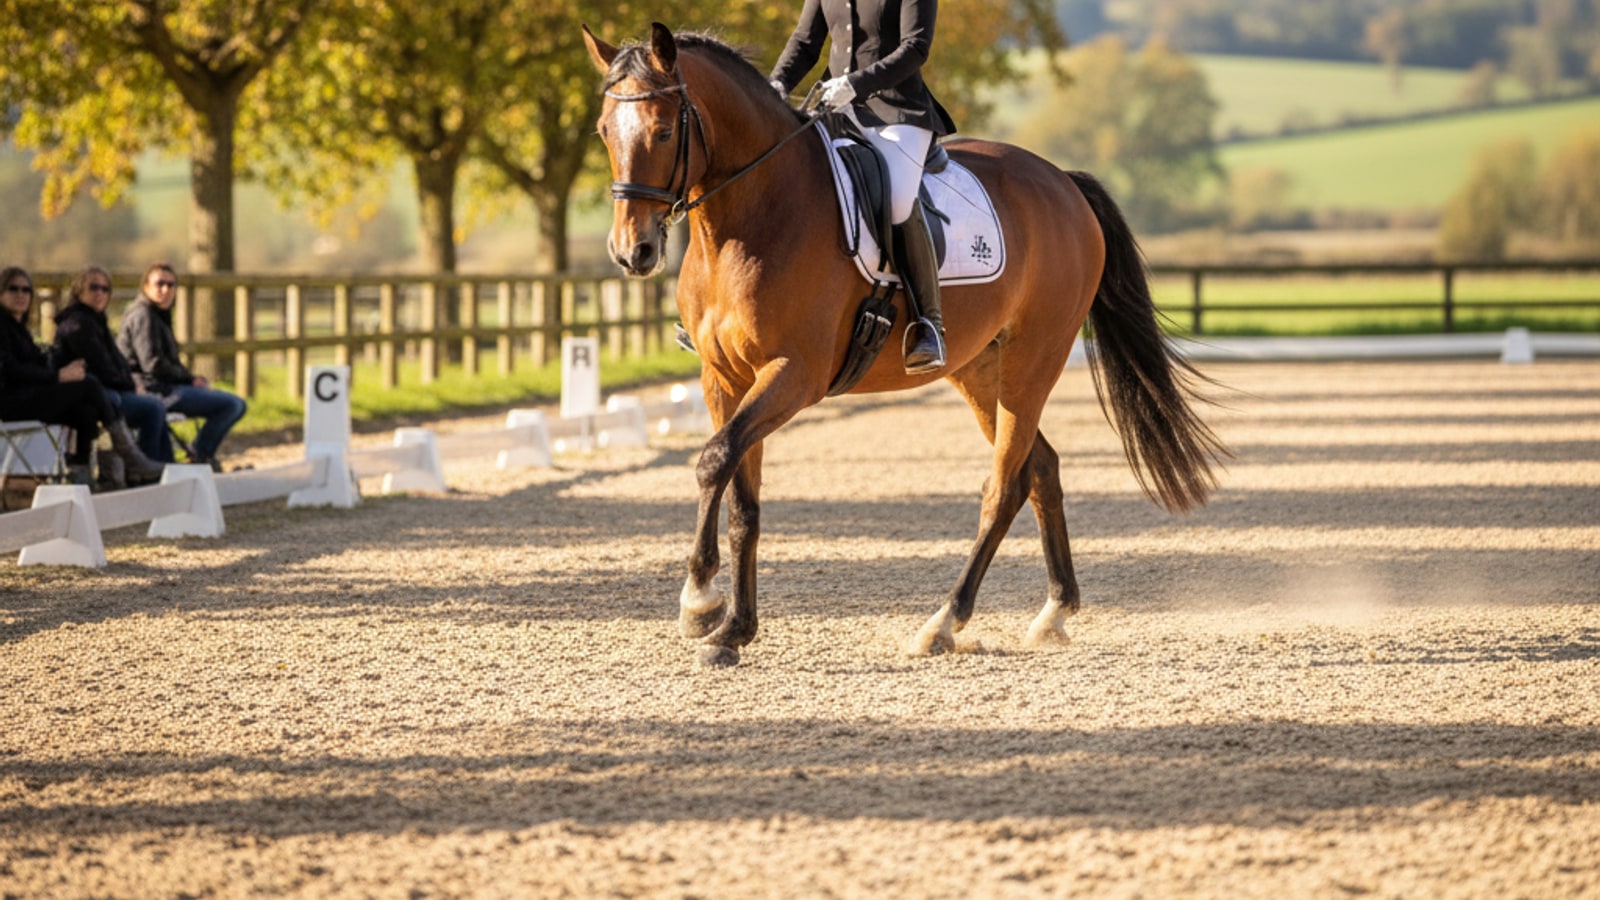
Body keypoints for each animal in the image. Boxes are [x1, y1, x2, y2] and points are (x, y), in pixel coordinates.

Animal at [582, 23, 1226, 667]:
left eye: (665, 130)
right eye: (605, 131)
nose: (632, 251)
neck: (751, 217)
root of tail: (1064, 183)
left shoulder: (793, 374)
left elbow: (714, 460)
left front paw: (699, 603)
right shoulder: (724, 378)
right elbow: (742, 497)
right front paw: (733, 628)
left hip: (1032, 360)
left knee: (1004, 485)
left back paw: (944, 622)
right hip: (980, 368)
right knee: (1039, 468)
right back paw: (1054, 612)